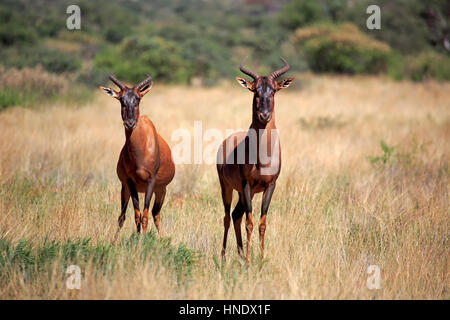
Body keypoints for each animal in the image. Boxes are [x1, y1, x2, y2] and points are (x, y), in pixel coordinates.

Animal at [101, 74, 175, 240]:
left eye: (138, 99)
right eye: (121, 100)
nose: (129, 123)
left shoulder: (151, 181)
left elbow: (145, 215)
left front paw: (143, 240)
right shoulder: (130, 181)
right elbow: (137, 214)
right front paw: (137, 238)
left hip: (161, 190)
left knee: (155, 214)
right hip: (125, 188)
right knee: (122, 216)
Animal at [216, 58, 294, 262]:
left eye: (273, 90)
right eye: (255, 90)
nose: (264, 115)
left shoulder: (271, 186)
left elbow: (262, 222)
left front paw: (260, 257)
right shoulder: (246, 184)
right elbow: (250, 222)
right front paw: (251, 261)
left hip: (243, 194)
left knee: (236, 215)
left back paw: (240, 254)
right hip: (228, 187)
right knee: (227, 217)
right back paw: (224, 256)